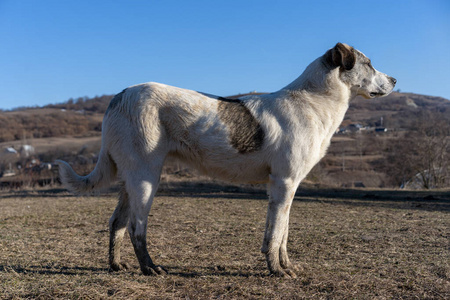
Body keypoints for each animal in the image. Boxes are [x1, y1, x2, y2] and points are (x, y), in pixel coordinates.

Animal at [57, 43, 398, 278]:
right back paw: (151, 268)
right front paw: (277, 272)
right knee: (136, 227)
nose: (395, 79)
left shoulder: (286, 187)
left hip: (130, 179)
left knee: (116, 223)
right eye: (369, 64)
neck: (314, 99)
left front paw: (286, 266)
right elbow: (276, 234)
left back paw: (117, 266)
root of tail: (119, 96)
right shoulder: (284, 184)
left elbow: (282, 233)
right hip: (146, 178)